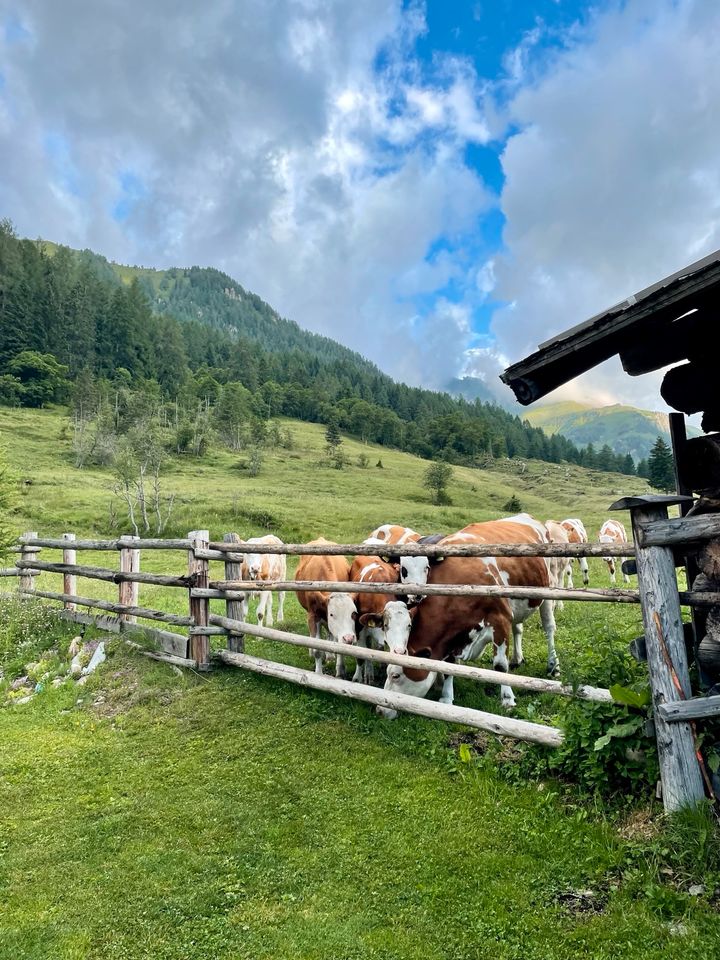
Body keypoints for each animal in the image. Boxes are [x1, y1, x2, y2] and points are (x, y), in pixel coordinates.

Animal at [296, 536, 358, 680]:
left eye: (353, 613)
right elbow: (317, 649)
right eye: (332, 614)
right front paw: (318, 672)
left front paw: (340, 671)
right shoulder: (313, 616)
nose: (349, 638)